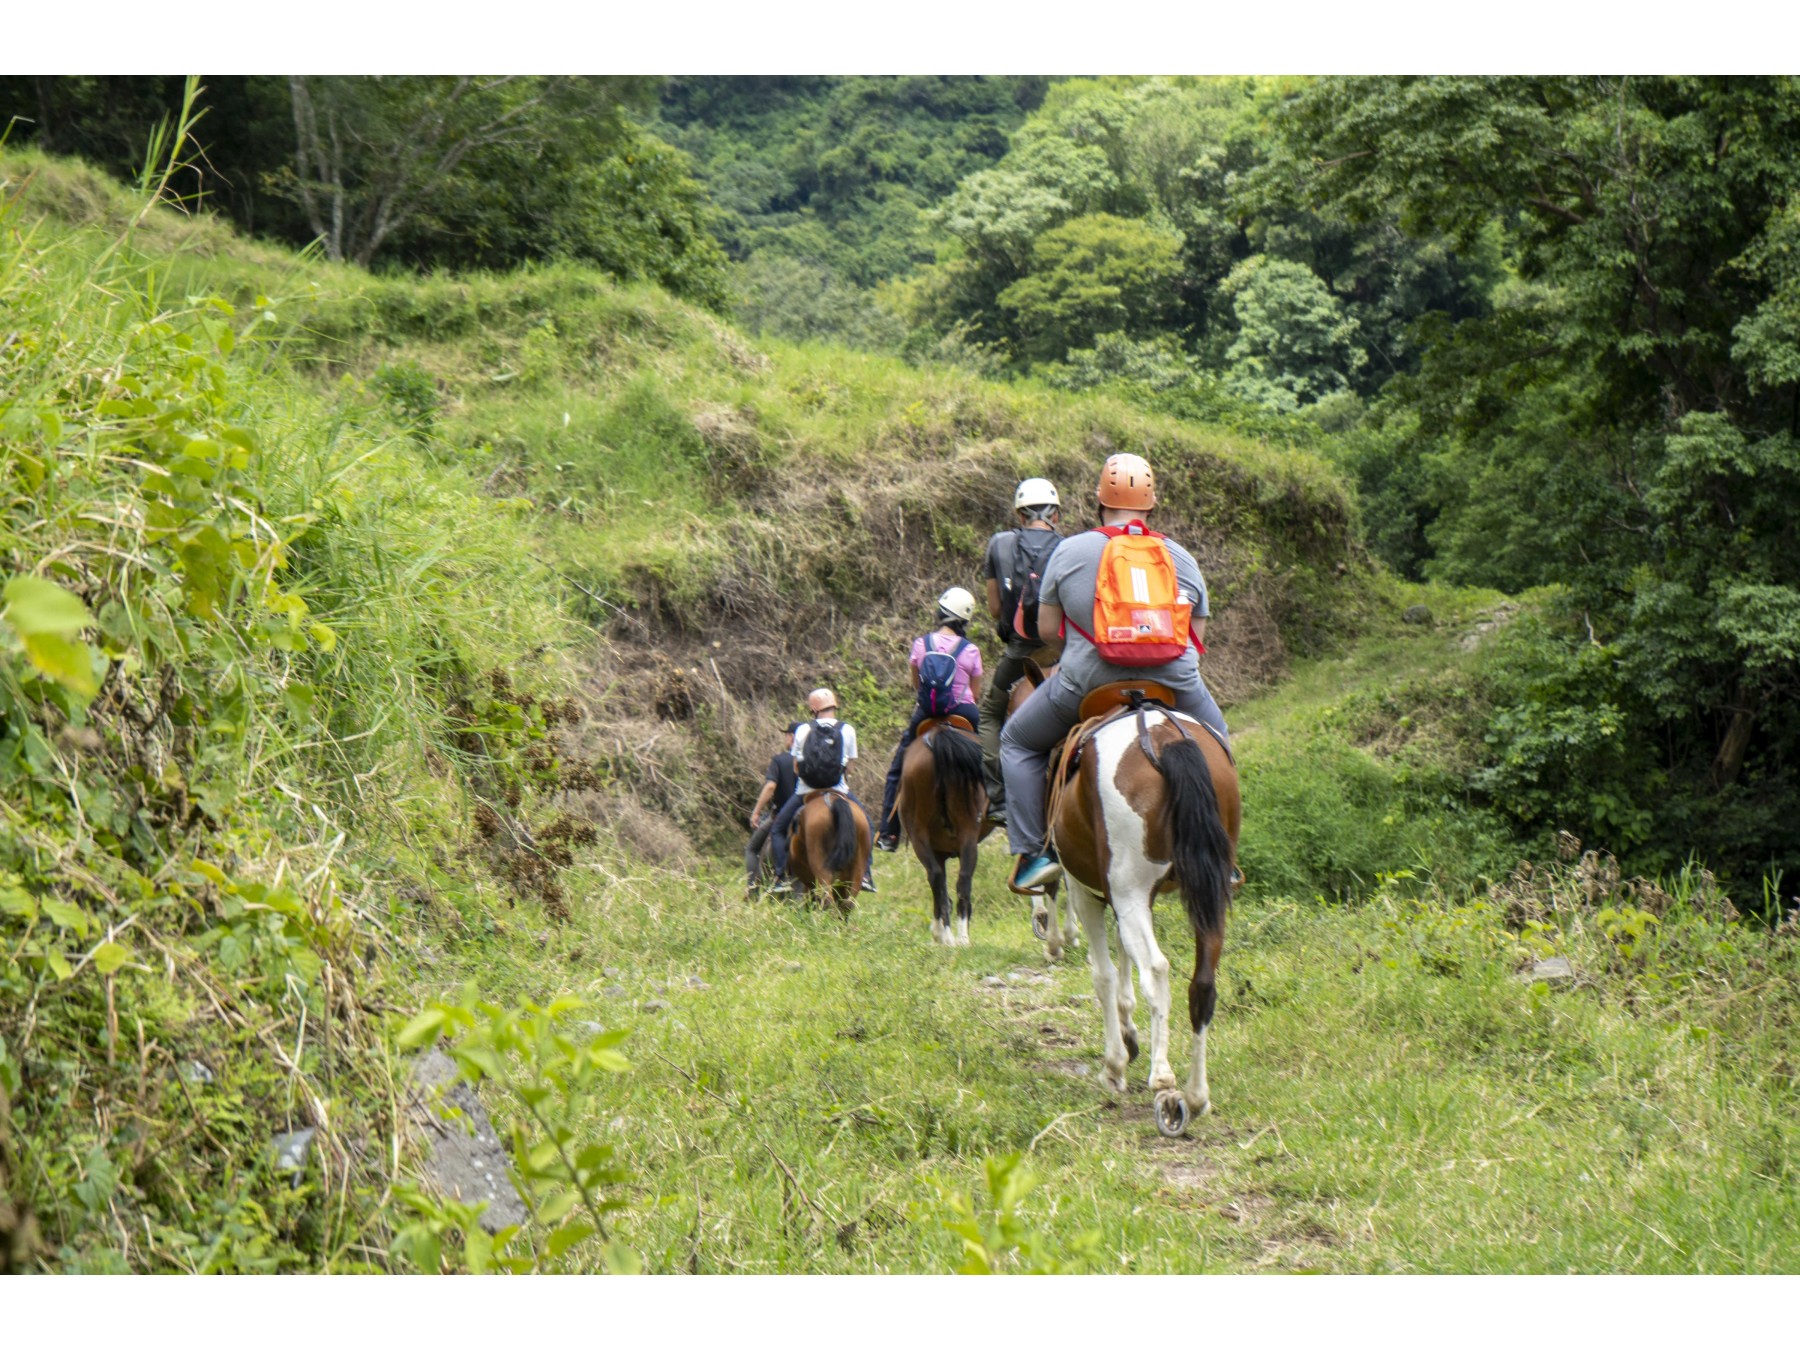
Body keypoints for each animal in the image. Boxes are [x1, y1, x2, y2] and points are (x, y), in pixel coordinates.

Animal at [896, 712, 993, 943]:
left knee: (938, 877)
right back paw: (958, 937)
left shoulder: (937, 850)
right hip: (964, 834)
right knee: (959, 880)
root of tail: (940, 735)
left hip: (920, 836)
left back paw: (949, 936)